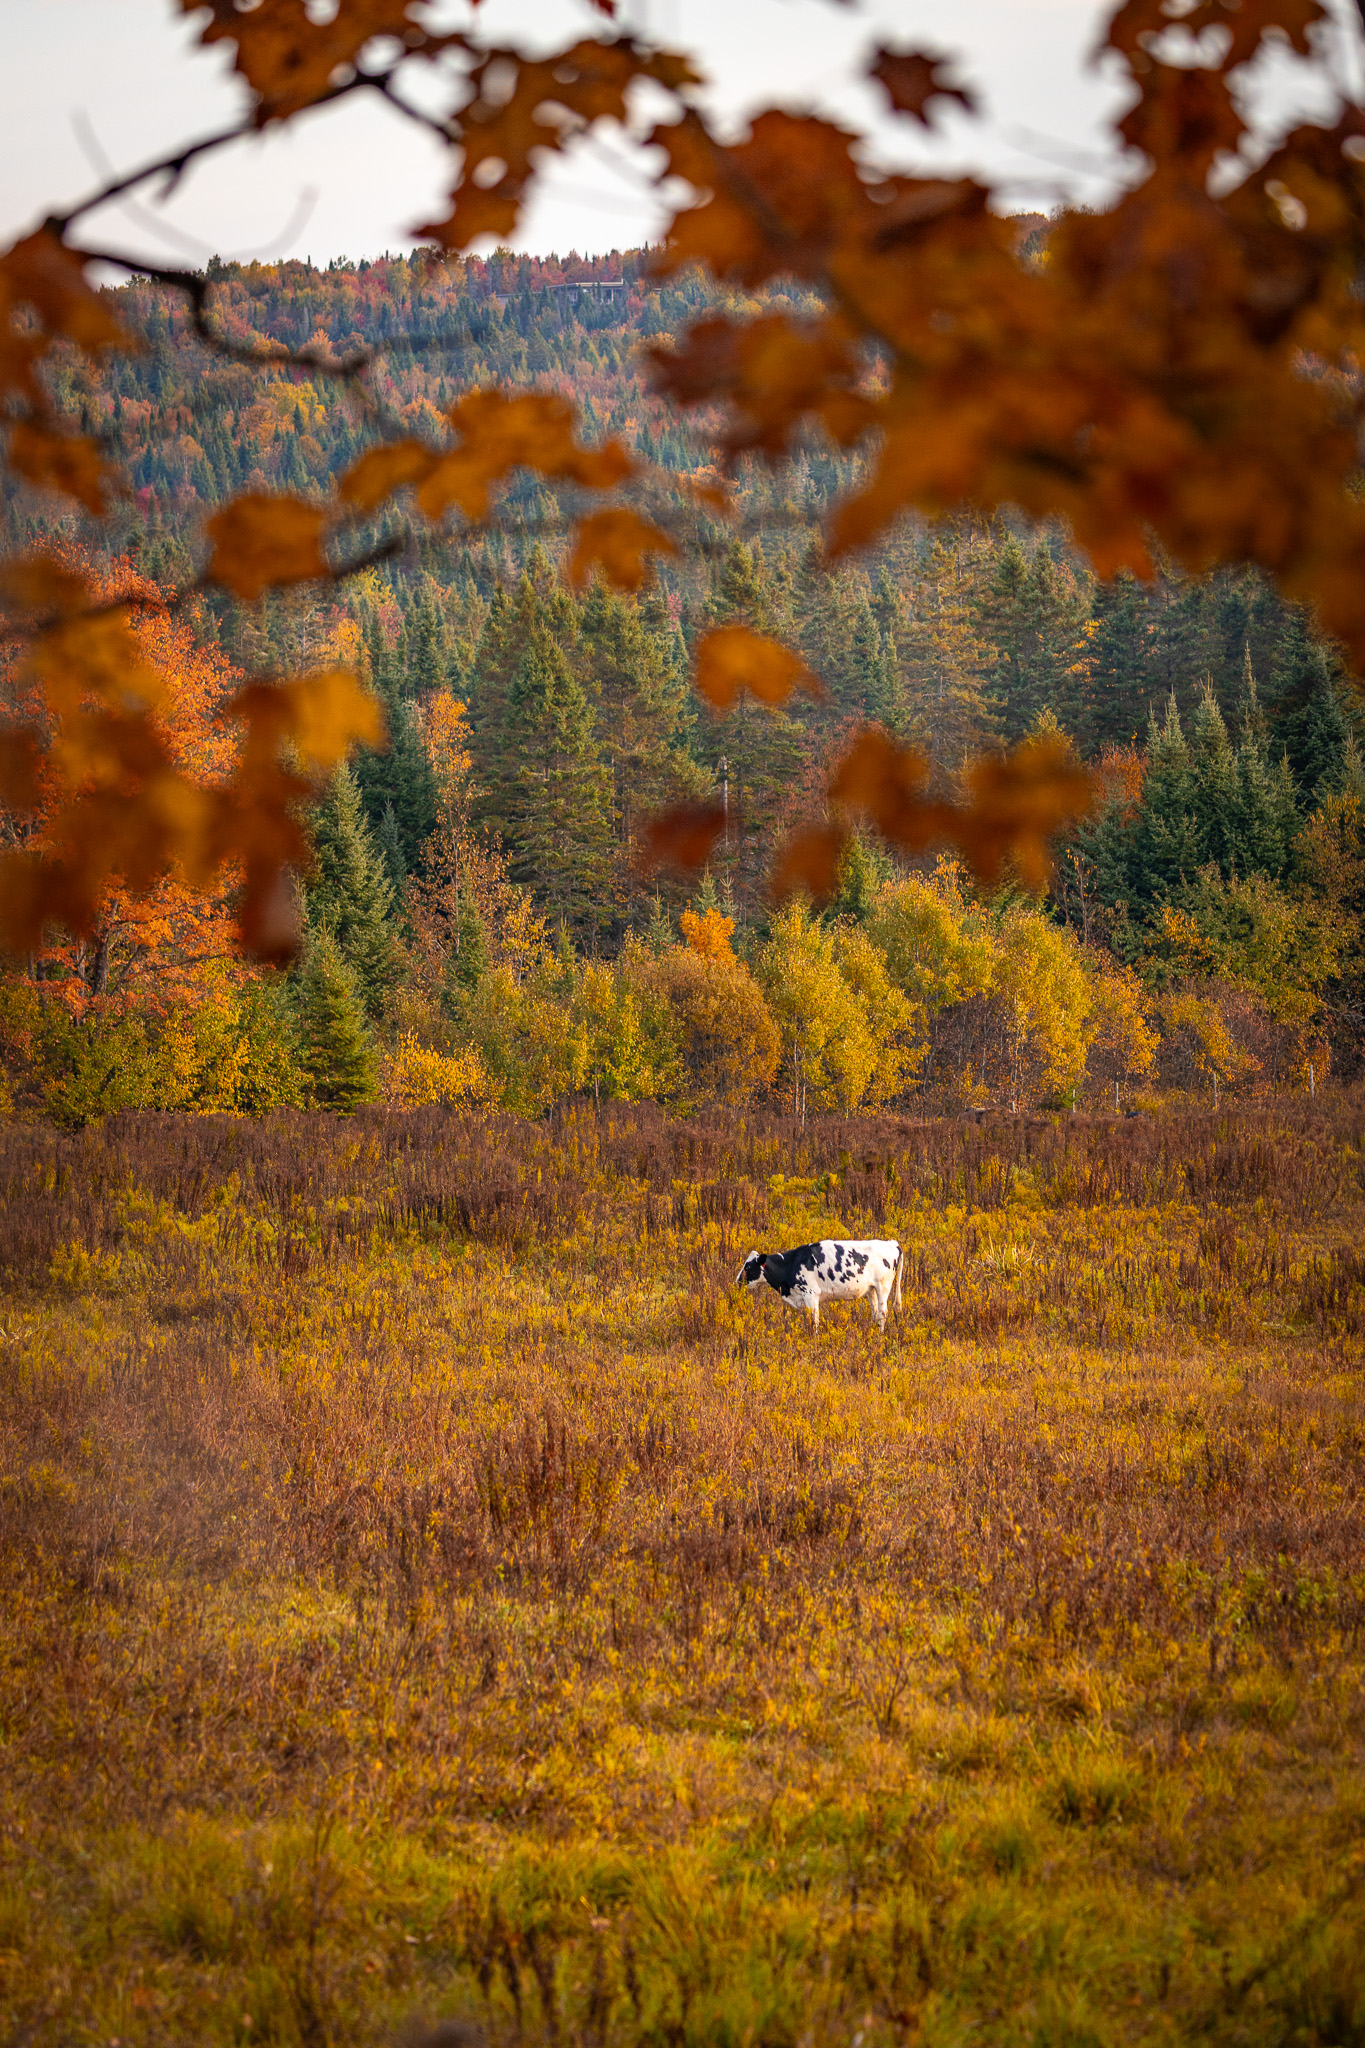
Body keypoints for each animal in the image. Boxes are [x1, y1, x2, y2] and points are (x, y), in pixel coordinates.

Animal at [736, 1236, 908, 1335]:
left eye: (748, 1266)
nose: (737, 1281)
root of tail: (892, 1243)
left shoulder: (811, 1294)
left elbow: (814, 1320)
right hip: (871, 1289)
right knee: (875, 1312)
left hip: (883, 1286)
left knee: (882, 1313)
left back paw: (880, 1336)